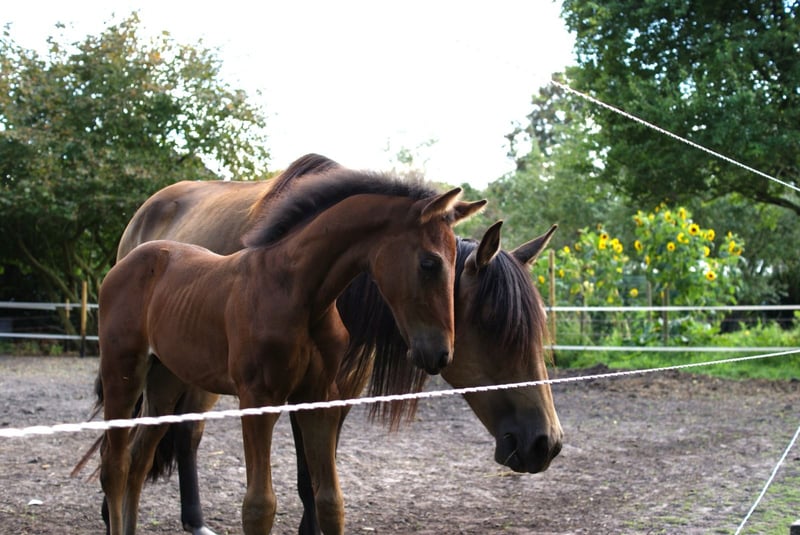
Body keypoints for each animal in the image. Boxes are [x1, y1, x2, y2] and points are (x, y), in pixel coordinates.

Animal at [97, 154, 563, 535]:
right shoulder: (259, 398)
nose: (546, 444)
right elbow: (260, 506)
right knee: (115, 465)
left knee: (141, 458)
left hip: (167, 379)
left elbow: (327, 500)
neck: (299, 292)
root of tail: (134, 255)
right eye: (430, 263)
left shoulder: (323, 396)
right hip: (124, 372)